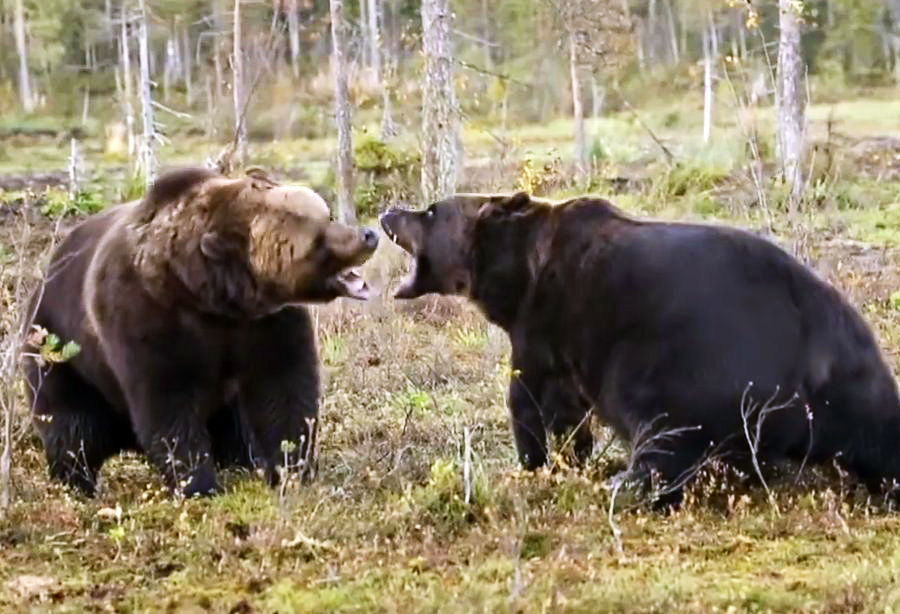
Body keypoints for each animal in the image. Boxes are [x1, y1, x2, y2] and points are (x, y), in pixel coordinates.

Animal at [22, 166, 378, 498]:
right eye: (318, 235)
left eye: (325, 213)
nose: (367, 235)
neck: (213, 296)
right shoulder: (148, 318)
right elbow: (168, 405)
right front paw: (198, 484)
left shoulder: (266, 324)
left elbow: (284, 389)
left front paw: (291, 469)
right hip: (59, 350)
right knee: (74, 427)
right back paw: (75, 482)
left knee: (233, 426)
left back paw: (243, 460)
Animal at [384, 194, 900, 510]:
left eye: (429, 211)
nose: (388, 212)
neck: (515, 278)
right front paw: (573, 457)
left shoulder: (544, 327)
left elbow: (533, 400)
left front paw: (537, 461)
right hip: (854, 377)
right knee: (880, 437)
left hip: (687, 362)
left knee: (665, 433)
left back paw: (624, 484)